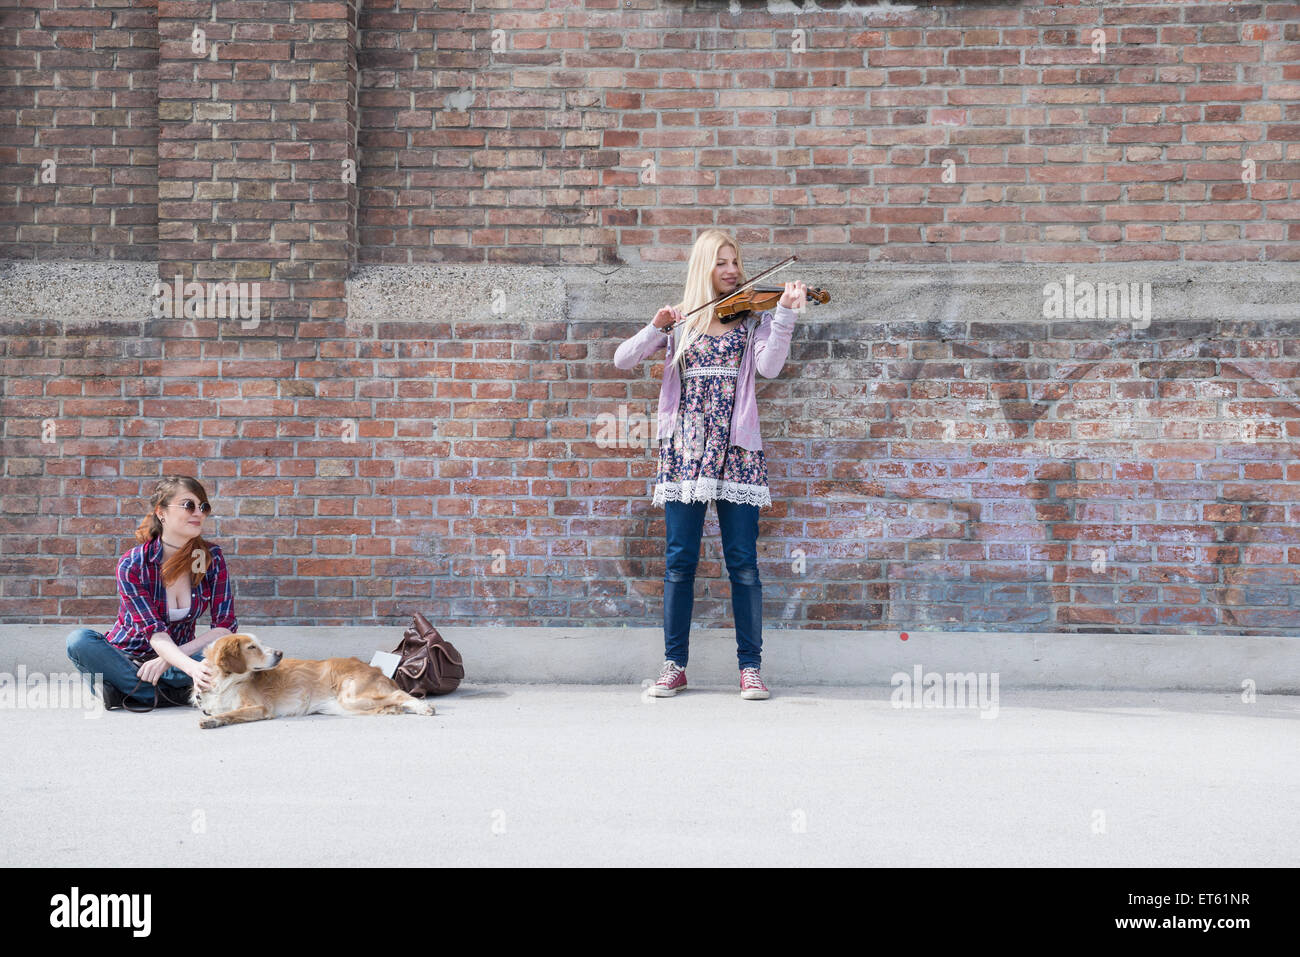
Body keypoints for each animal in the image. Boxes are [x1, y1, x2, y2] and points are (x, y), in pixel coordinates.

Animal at [191, 631, 436, 728]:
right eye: (252, 647)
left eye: (259, 643)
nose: (280, 653)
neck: (225, 682)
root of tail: (373, 667)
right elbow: (226, 713)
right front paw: (213, 720)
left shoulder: (260, 707)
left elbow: (231, 713)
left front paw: (213, 721)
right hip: (342, 707)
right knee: (390, 701)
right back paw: (393, 710)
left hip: (352, 697)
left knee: (399, 693)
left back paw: (423, 707)